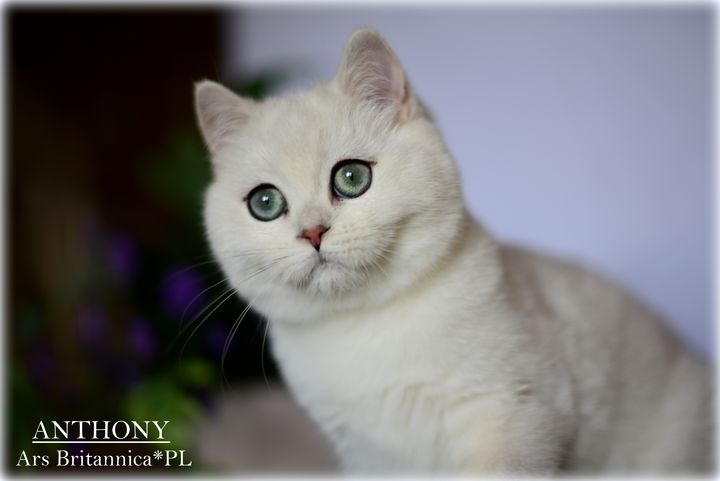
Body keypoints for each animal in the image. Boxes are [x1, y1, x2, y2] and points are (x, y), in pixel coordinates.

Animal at [194, 29, 713, 475]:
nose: (313, 232)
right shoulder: (368, 457)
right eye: (265, 203)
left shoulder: (517, 416)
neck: (363, 327)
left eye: (351, 177)